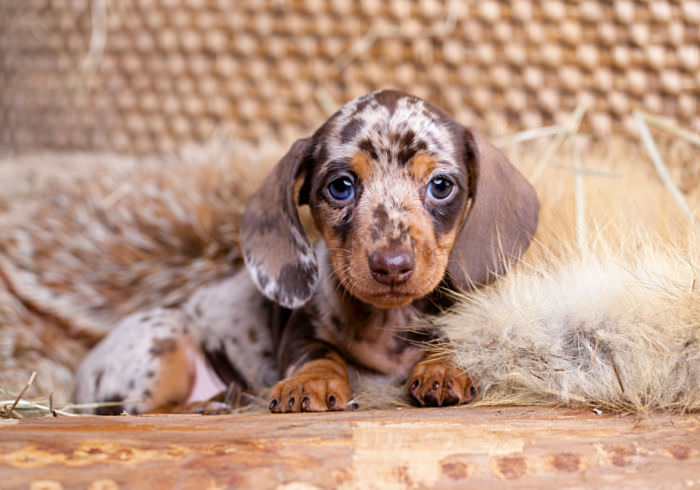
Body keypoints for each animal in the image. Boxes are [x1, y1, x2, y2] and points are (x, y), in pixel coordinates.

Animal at [74, 90, 540, 412]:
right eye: (341, 187)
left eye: (441, 186)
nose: (392, 266)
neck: (387, 324)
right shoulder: (300, 331)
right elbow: (318, 352)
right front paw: (311, 383)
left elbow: (449, 342)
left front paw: (443, 367)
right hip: (163, 334)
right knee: (141, 409)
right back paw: (207, 404)